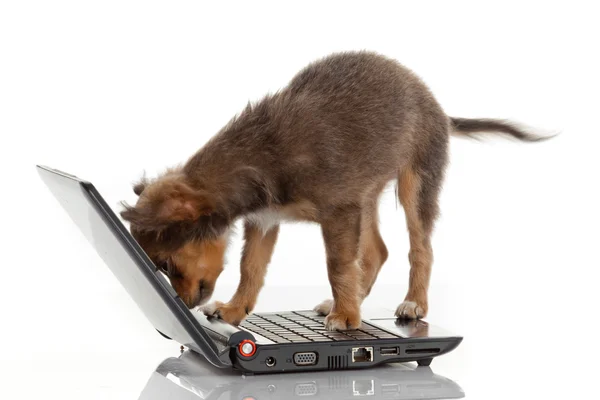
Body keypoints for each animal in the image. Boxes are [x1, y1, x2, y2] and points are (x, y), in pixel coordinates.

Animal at [119, 50, 552, 332]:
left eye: (168, 265)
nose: (184, 305)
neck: (261, 155)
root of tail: (439, 108)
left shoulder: (339, 212)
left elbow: (338, 264)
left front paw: (345, 317)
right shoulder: (266, 221)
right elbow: (251, 268)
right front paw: (236, 310)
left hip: (415, 183)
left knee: (420, 249)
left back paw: (411, 304)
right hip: (368, 195)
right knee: (377, 251)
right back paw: (353, 300)